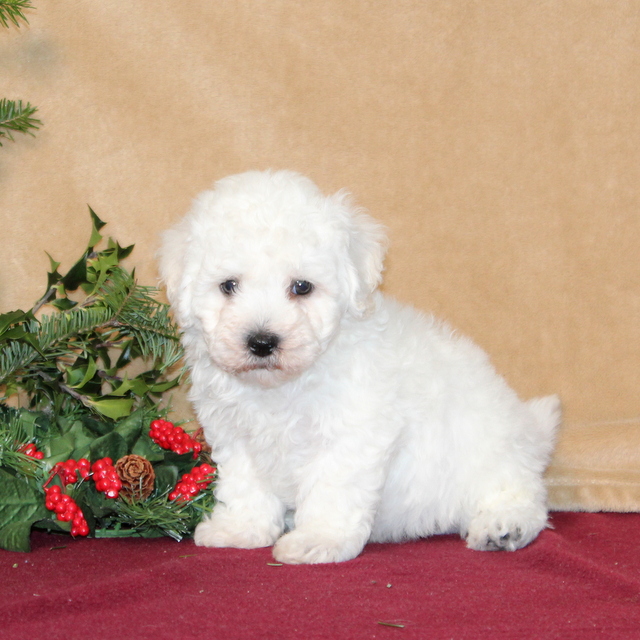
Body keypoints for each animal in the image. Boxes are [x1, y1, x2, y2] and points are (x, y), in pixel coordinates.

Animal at [158, 169, 561, 564]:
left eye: (302, 287)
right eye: (228, 286)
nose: (261, 341)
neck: (283, 385)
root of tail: (529, 432)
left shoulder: (352, 431)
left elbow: (332, 489)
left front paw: (319, 540)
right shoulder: (236, 435)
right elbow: (245, 486)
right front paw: (240, 529)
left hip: (487, 450)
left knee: (520, 492)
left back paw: (504, 525)